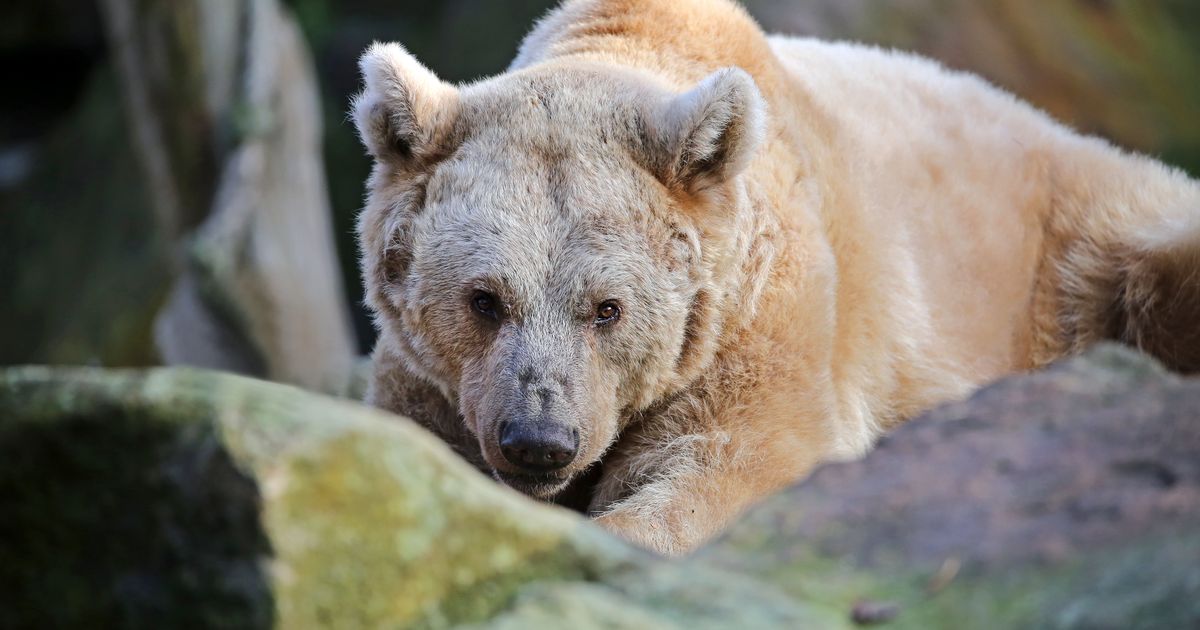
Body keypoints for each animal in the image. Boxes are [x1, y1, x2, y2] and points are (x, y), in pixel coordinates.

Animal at [350, 0, 1200, 552]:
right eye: (484, 299)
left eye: (607, 309)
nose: (539, 442)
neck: (631, 40)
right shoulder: (428, 382)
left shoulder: (760, 314)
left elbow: (740, 463)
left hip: (1085, 251)